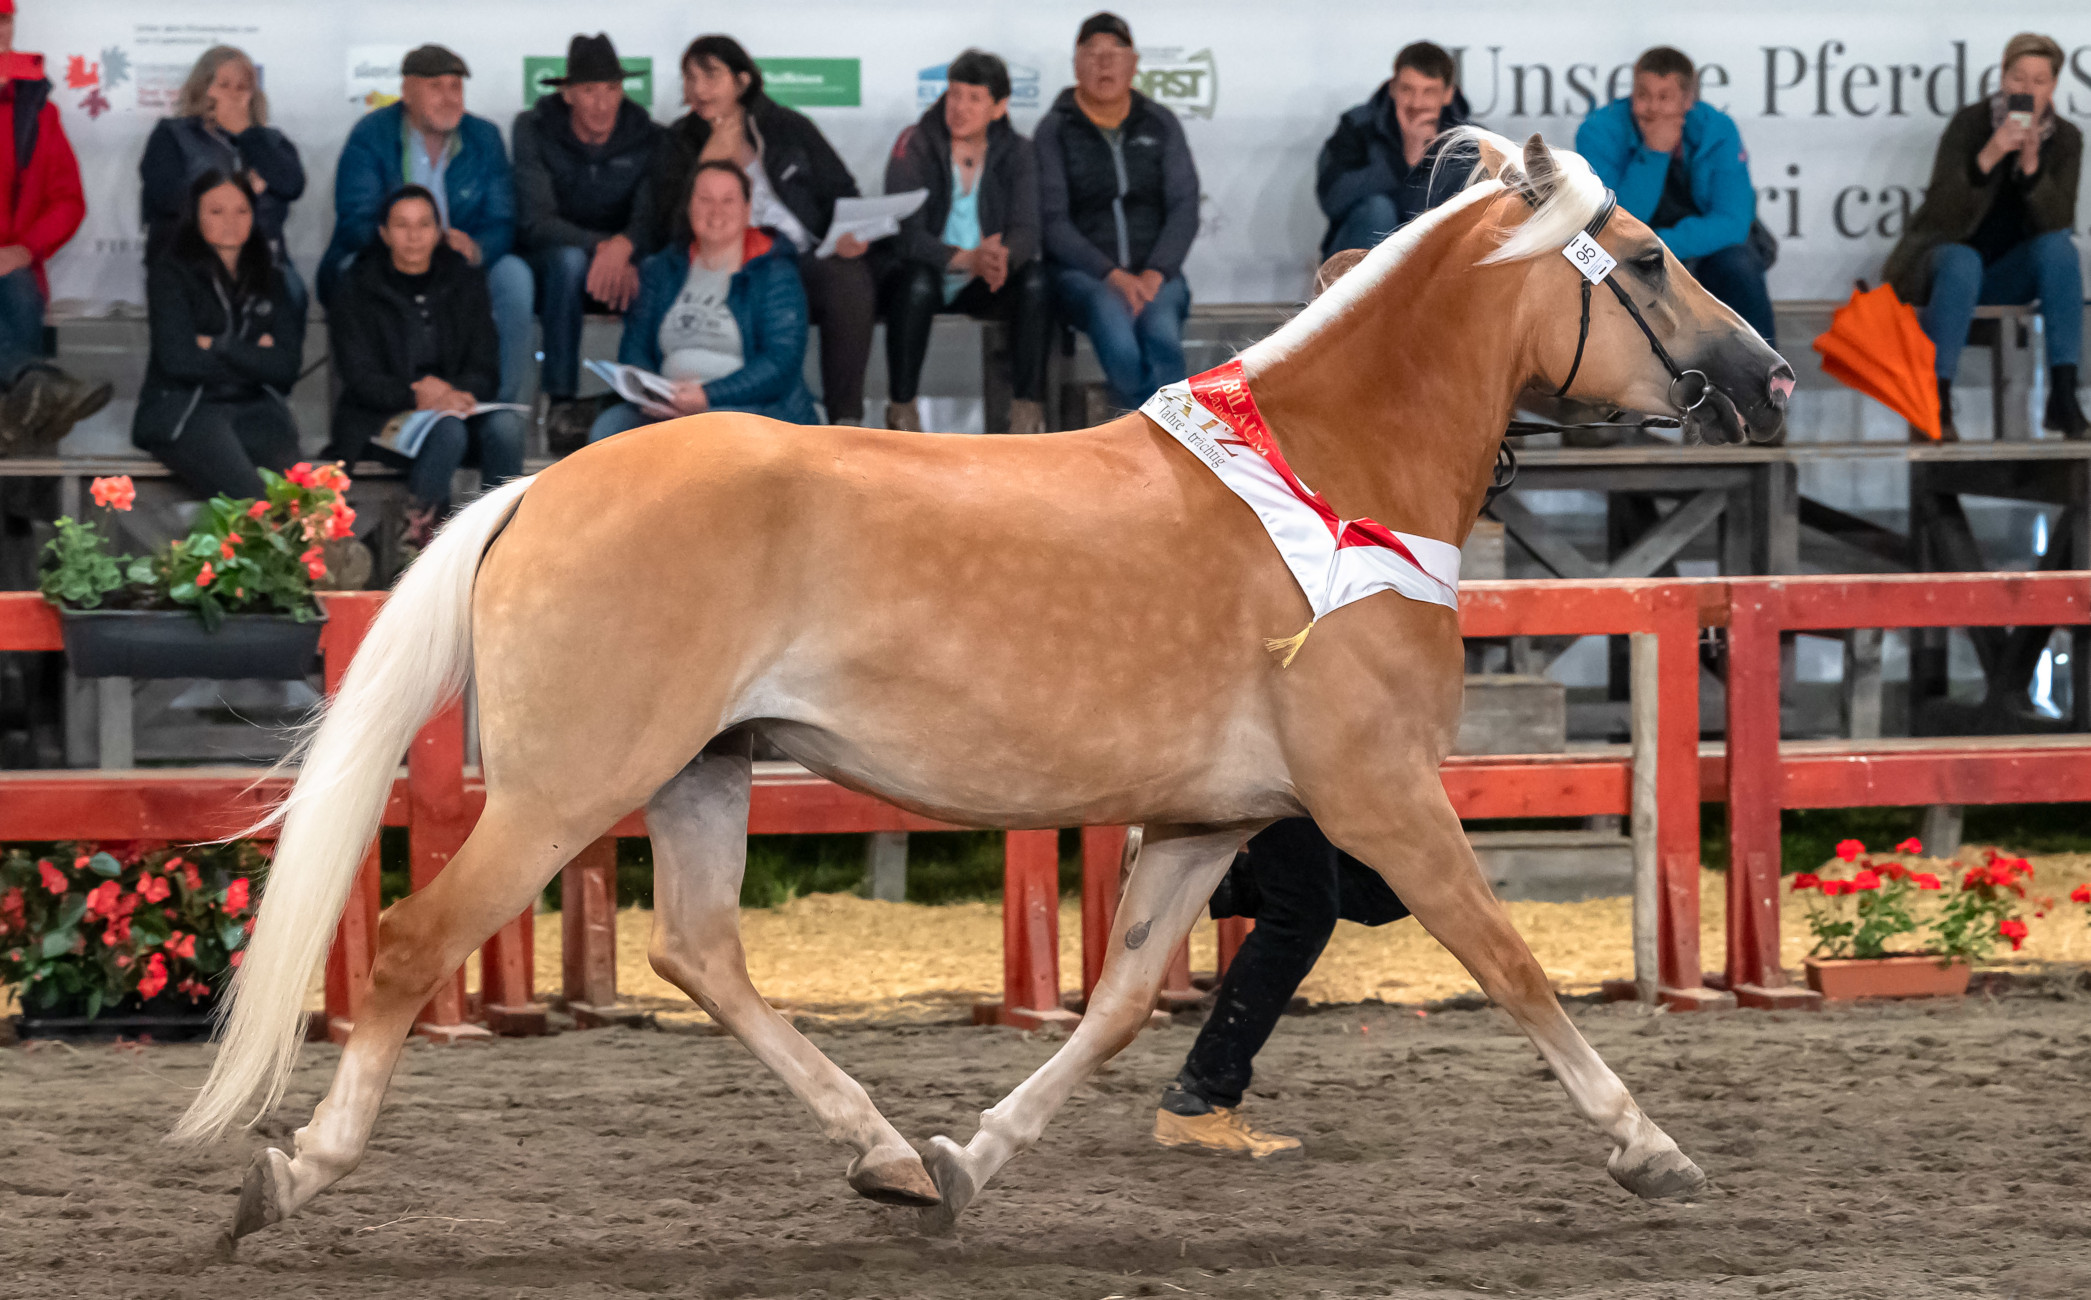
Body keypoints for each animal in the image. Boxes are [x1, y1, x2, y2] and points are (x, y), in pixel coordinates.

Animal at [173, 133, 1790, 1240]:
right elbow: (1510, 964)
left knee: (699, 952)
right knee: (411, 944)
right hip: (569, 789)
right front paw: (1649, 1147)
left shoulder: (1208, 821)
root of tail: (537, 489)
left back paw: (889, 1154)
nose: (1768, 376)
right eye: (1648, 256)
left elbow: (1121, 1004)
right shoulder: (1382, 802)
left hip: (702, 770)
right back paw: (295, 1171)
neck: (1334, 481)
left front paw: (971, 1158)